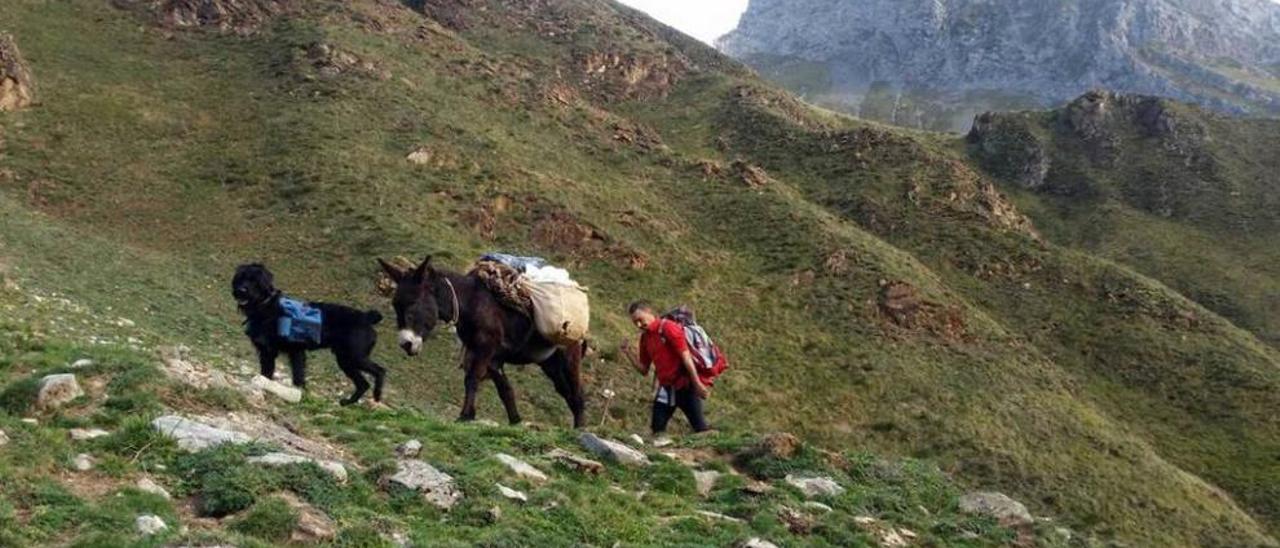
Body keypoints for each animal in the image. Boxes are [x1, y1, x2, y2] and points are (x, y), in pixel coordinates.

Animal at [232, 263, 386, 404]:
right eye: (240, 278)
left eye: (255, 281)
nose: (241, 290)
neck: (266, 307)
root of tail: (366, 318)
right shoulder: (266, 351)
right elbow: (266, 374)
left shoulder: (295, 351)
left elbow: (298, 375)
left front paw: (298, 394)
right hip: (345, 360)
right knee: (363, 384)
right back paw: (348, 402)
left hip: (354, 357)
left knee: (380, 370)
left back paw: (377, 395)